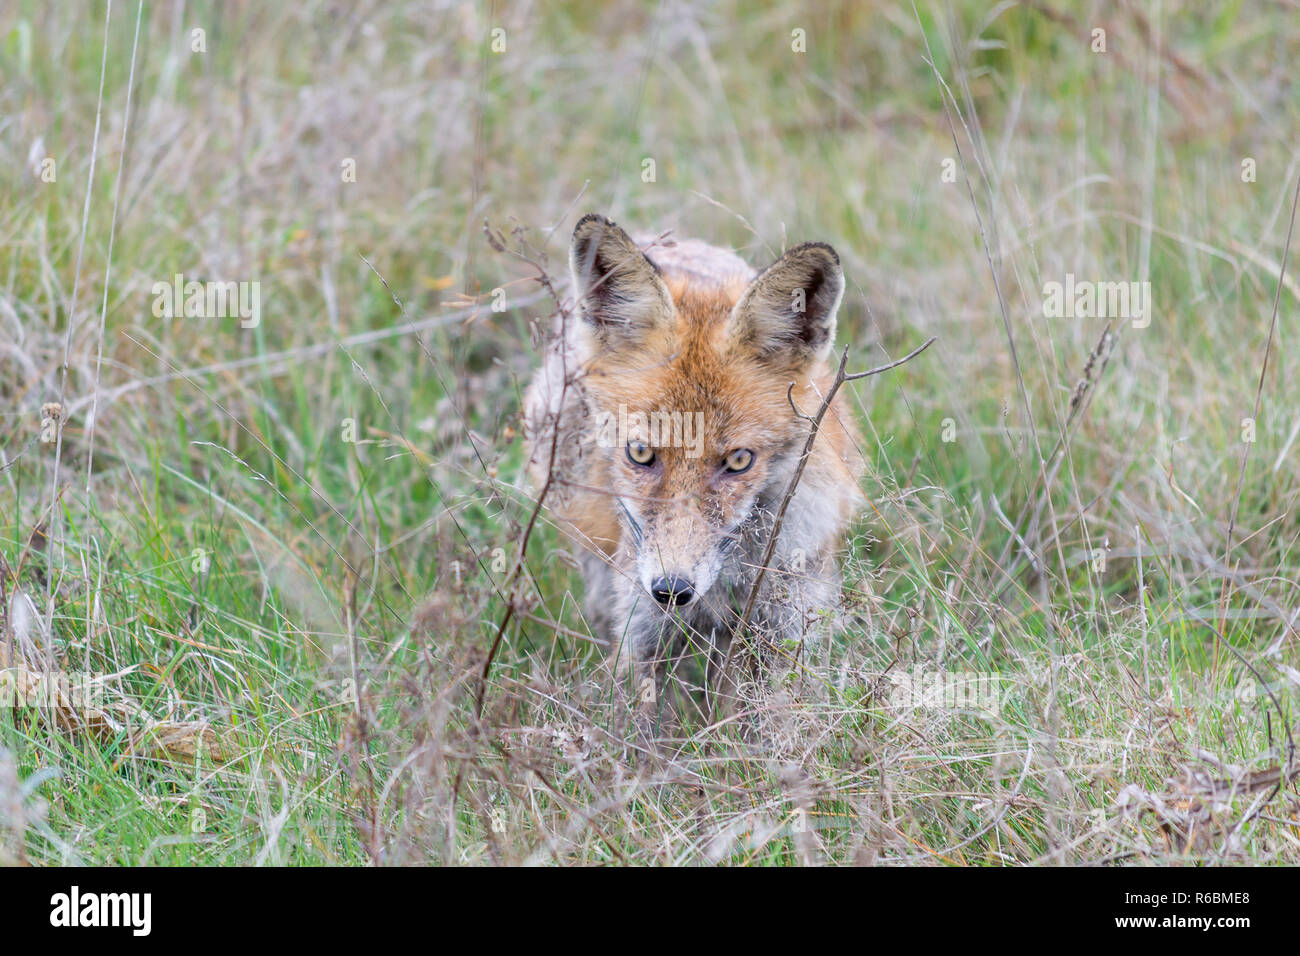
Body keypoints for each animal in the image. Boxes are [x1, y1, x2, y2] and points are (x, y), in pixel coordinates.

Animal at [517, 214, 863, 712]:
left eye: (738, 460)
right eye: (640, 453)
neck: (725, 586)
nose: (672, 590)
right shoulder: (642, 633)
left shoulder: (784, 629)